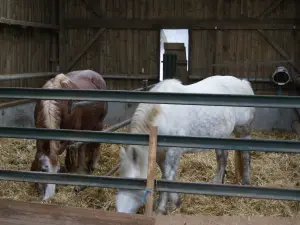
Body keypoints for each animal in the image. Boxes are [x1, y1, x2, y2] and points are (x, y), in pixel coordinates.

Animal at [30, 69, 108, 200]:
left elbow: (70, 153)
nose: (50, 198)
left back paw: (92, 165)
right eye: (43, 169)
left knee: (94, 145)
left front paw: (71, 171)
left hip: (99, 123)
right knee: (83, 147)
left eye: (57, 171)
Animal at [116, 75, 254, 214]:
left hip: (243, 131)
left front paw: (165, 206)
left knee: (245, 156)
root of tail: (243, 83)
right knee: (222, 158)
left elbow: (168, 178)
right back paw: (216, 183)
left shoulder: (173, 153)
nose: (121, 212)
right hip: (220, 137)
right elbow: (165, 176)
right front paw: (172, 201)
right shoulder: (160, 155)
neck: (162, 116)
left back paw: (246, 182)